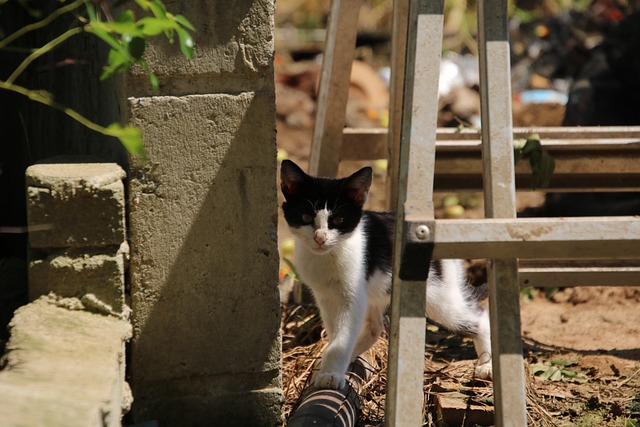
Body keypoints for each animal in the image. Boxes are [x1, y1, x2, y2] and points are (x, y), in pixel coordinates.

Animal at [278, 160, 492, 392]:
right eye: (306, 217)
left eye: (339, 219)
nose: (320, 238)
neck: (328, 256)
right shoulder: (324, 296)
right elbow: (337, 333)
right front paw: (327, 365)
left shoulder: (353, 295)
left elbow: (342, 337)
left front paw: (331, 374)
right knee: (375, 328)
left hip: (440, 296)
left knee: (479, 318)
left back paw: (487, 365)